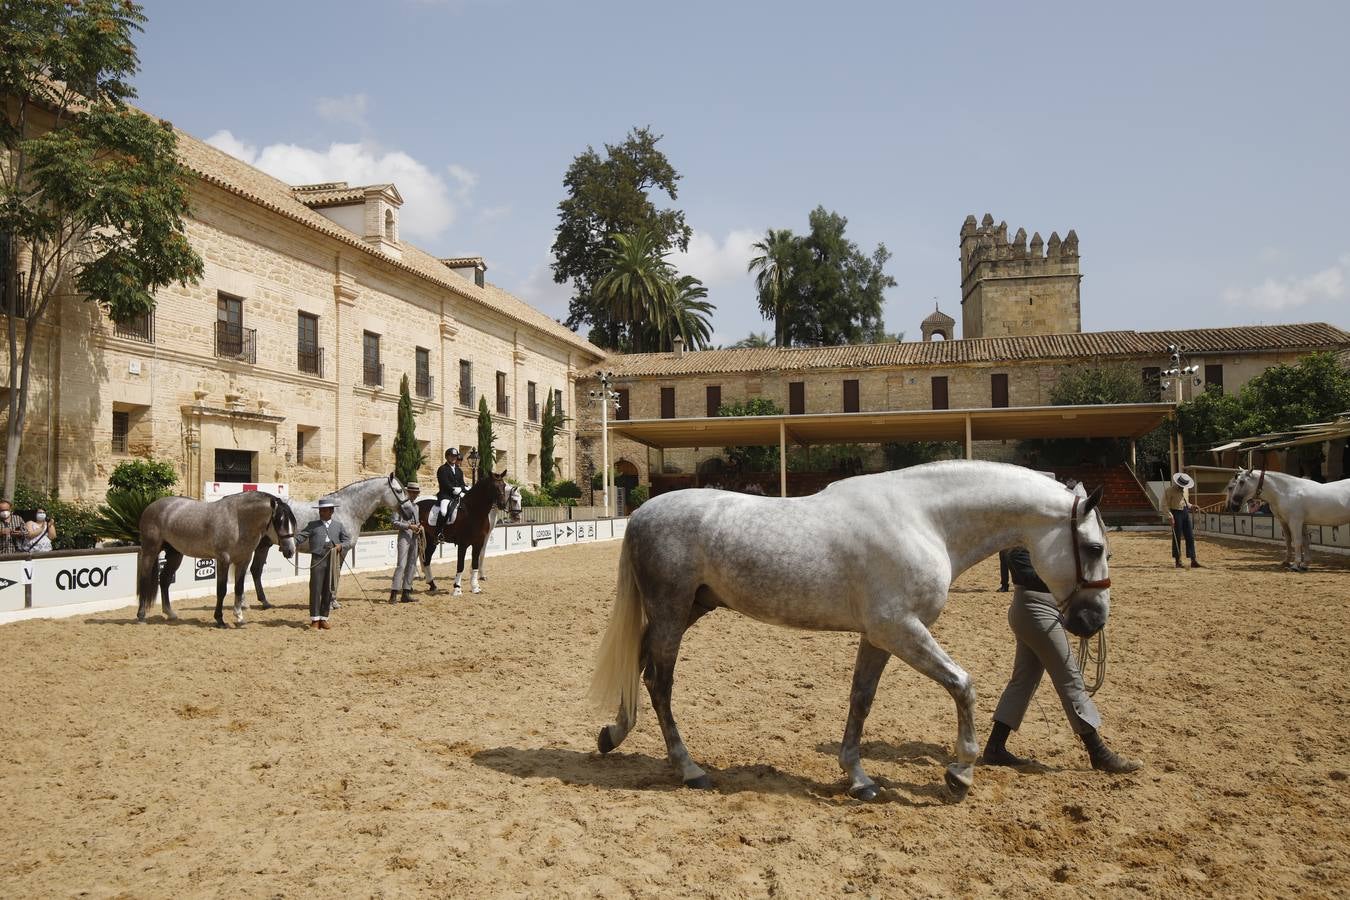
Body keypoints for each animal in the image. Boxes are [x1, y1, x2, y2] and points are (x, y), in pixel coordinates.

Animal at [135, 488, 297, 631]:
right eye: (279, 521)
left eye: (292, 522)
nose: (290, 550)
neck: (238, 520)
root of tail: (151, 506)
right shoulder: (223, 560)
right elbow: (221, 590)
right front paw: (220, 620)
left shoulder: (243, 561)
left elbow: (239, 588)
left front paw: (239, 617)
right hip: (150, 550)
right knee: (144, 579)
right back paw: (141, 616)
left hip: (175, 554)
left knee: (164, 580)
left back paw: (170, 613)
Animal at [588, 464, 1107, 804]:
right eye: (1095, 547)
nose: (1093, 620)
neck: (923, 519)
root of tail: (642, 513)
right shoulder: (900, 628)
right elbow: (963, 684)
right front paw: (959, 774)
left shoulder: (879, 636)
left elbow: (862, 698)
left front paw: (859, 778)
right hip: (672, 611)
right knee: (659, 683)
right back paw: (689, 769)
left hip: (689, 609)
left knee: (638, 665)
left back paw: (613, 734)